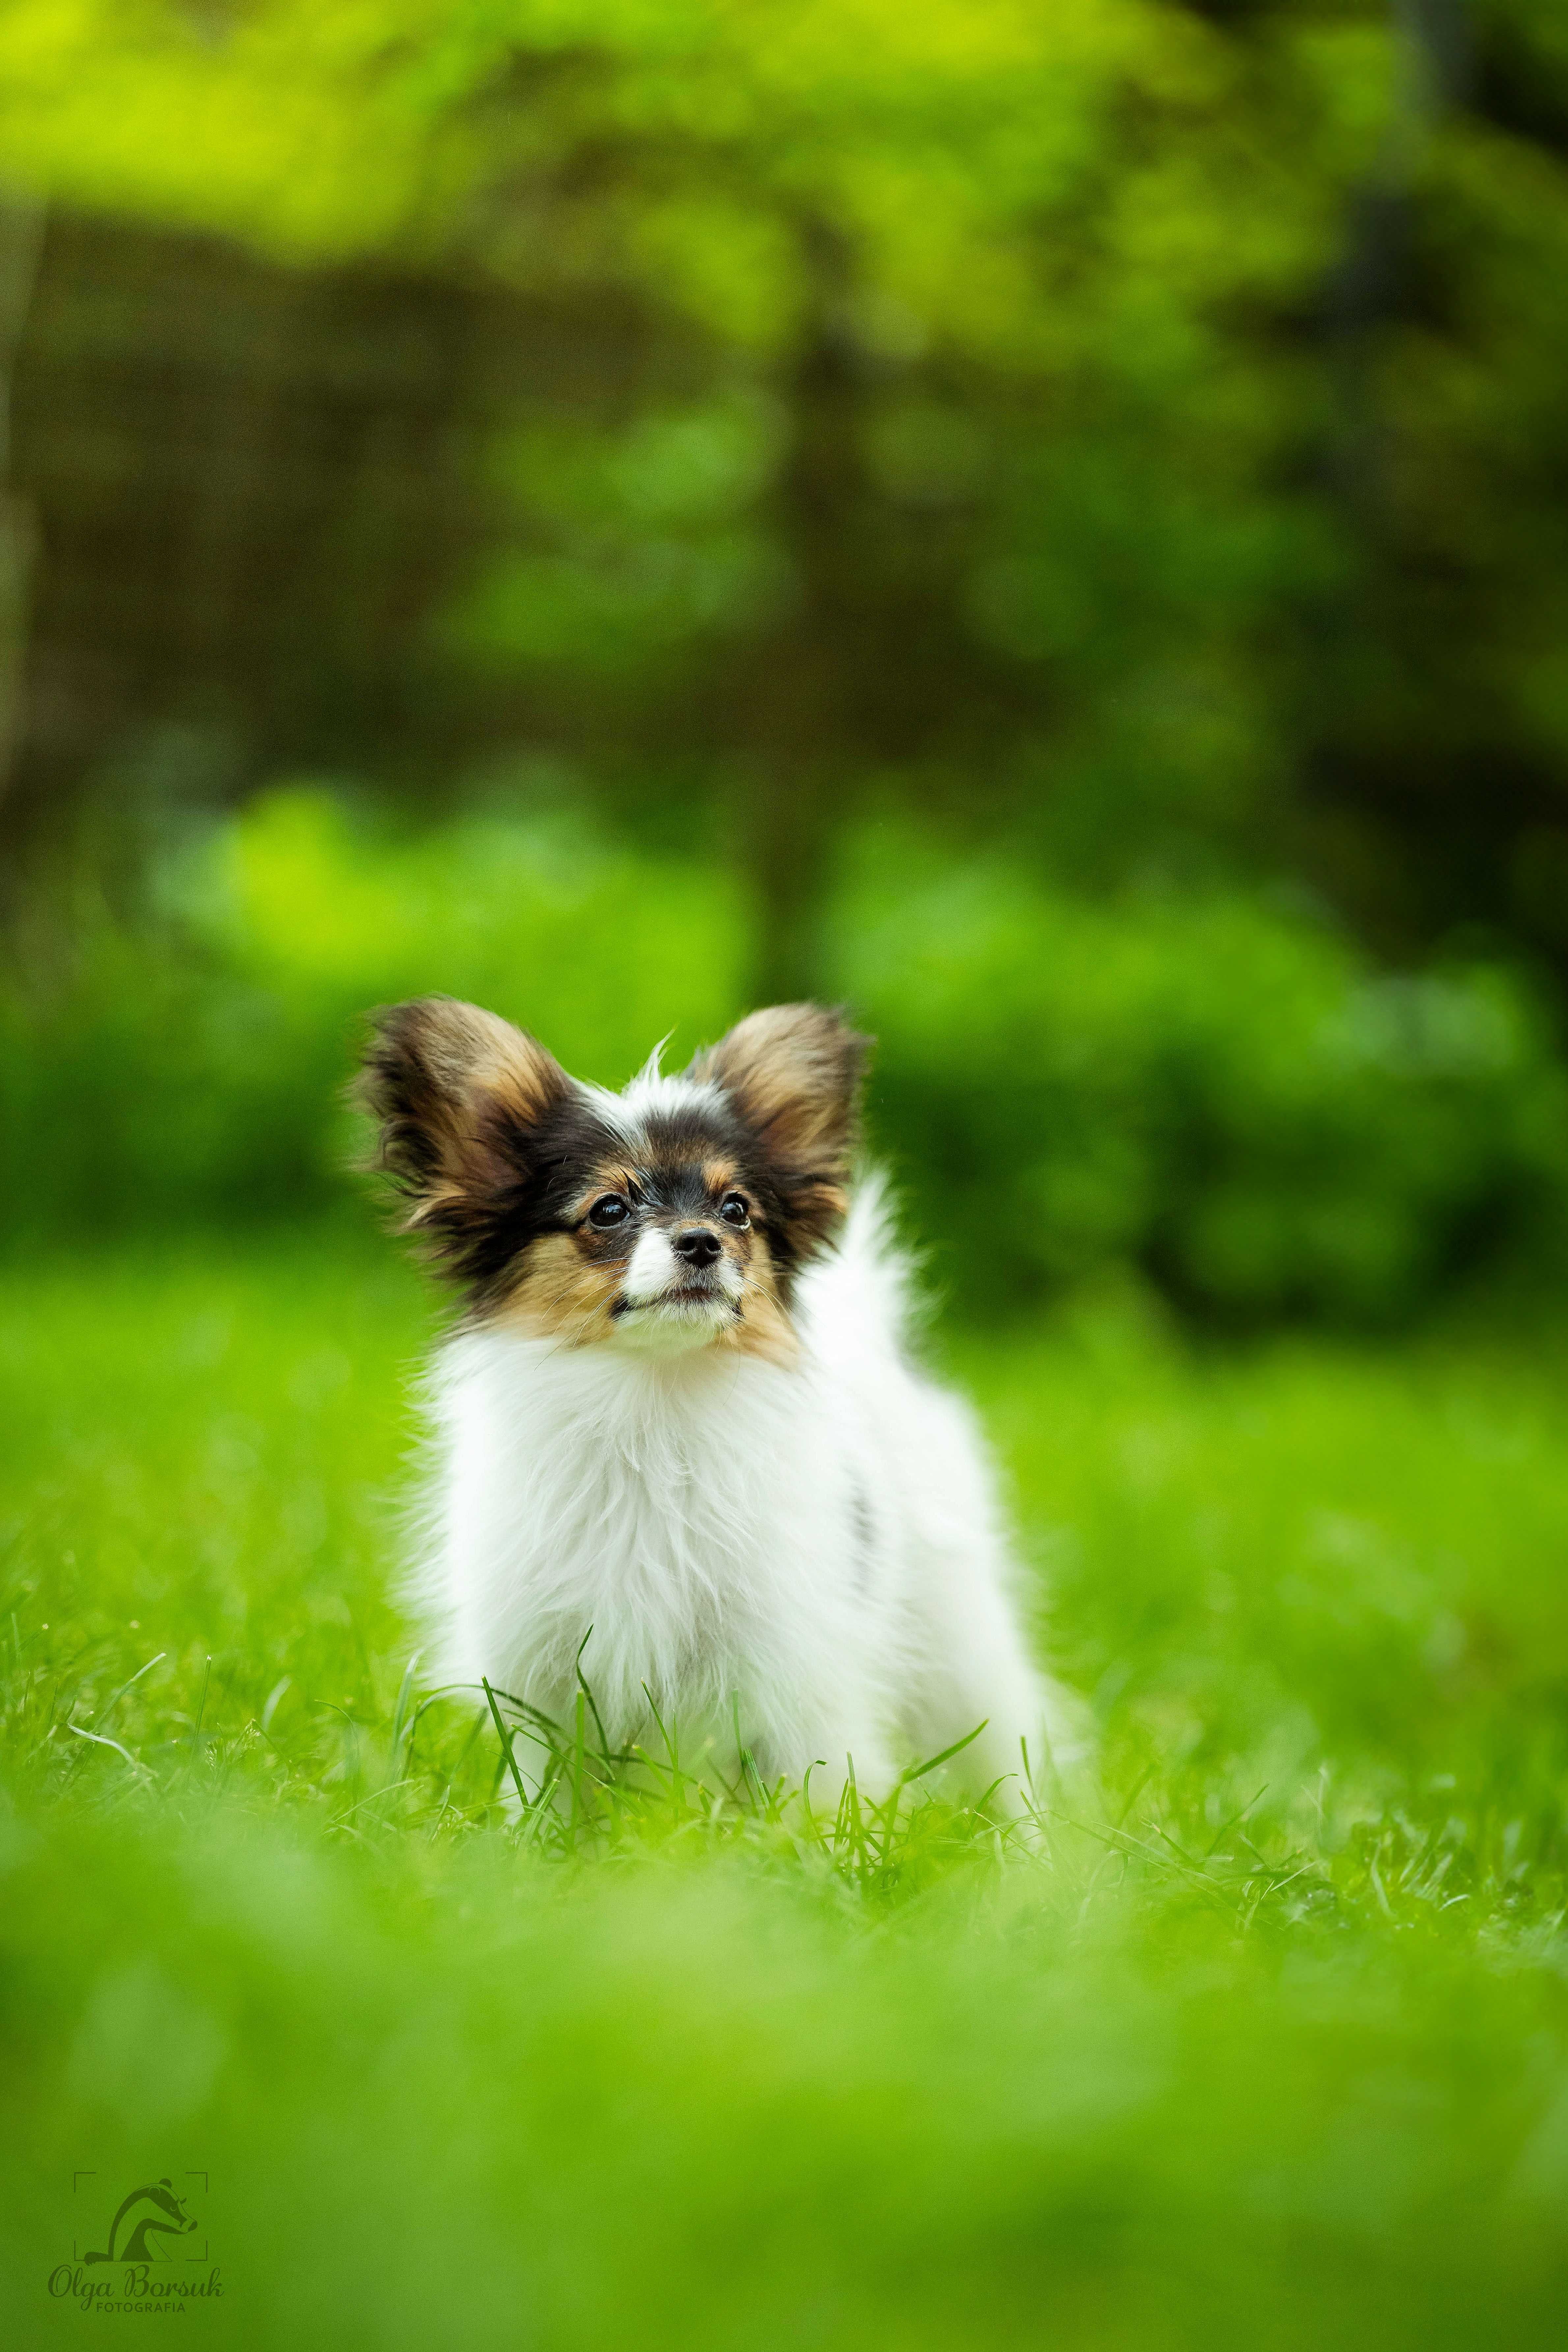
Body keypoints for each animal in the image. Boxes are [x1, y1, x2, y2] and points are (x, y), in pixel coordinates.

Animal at [362, 1002, 1086, 1806]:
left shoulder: (790, 1668)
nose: (702, 1241)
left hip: (958, 1639)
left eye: (737, 1209)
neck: (656, 1401)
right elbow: (546, 1789)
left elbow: (810, 1788)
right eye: (608, 1209)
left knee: (1000, 1754)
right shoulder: (542, 1678)